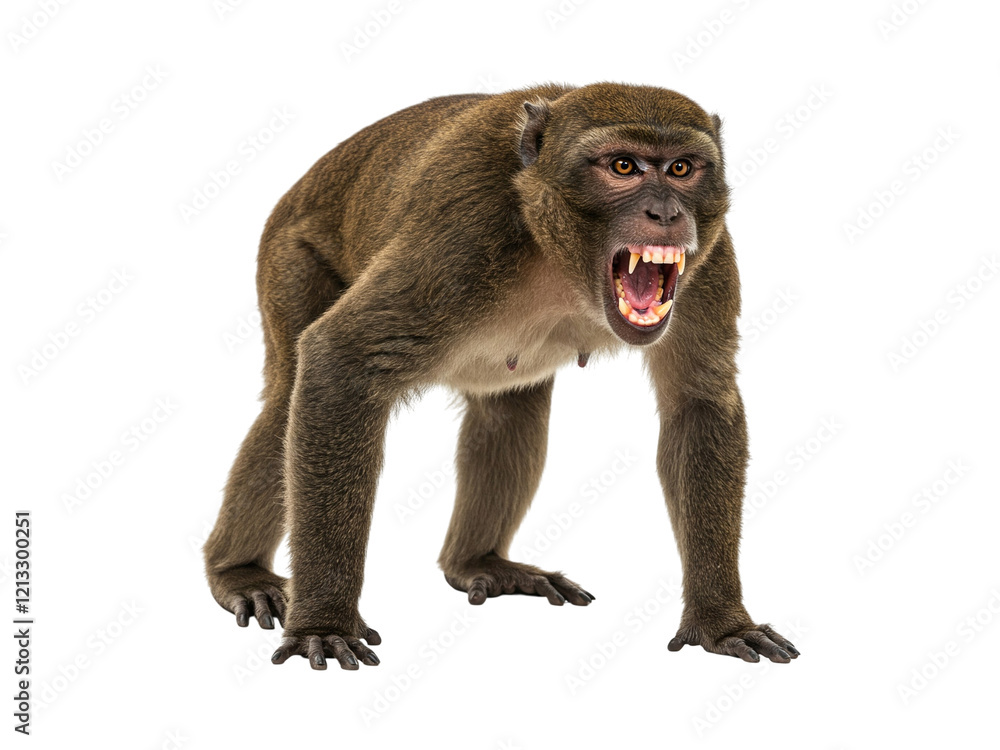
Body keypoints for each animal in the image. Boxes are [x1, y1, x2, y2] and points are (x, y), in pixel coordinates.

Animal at [203, 82, 801, 670]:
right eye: (624, 166)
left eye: (681, 169)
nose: (666, 213)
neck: (558, 252)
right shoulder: (465, 230)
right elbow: (339, 361)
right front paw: (324, 621)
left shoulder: (710, 256)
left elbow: (697, 403)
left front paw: (720, 621)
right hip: (288, 253)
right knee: (288, 399)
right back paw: (237, 571)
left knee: (509, 409)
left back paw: (476, 560)